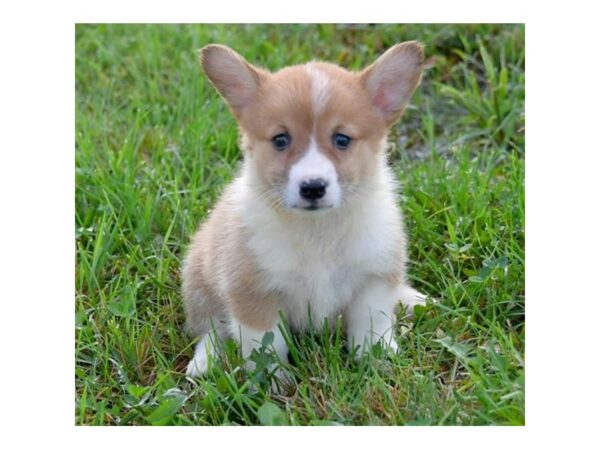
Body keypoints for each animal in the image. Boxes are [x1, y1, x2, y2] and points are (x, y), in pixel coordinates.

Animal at [183, 41, 426, 376]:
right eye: (280, 139)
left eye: (342, 139)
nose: (313, 187)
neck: (318, 231)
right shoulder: (252, 293)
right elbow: (266, 347)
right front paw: (274, 381)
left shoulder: (373, 278)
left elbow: (371, 327)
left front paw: (377, 364)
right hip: (198, 279)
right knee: (211, 328)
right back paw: (205, 362)